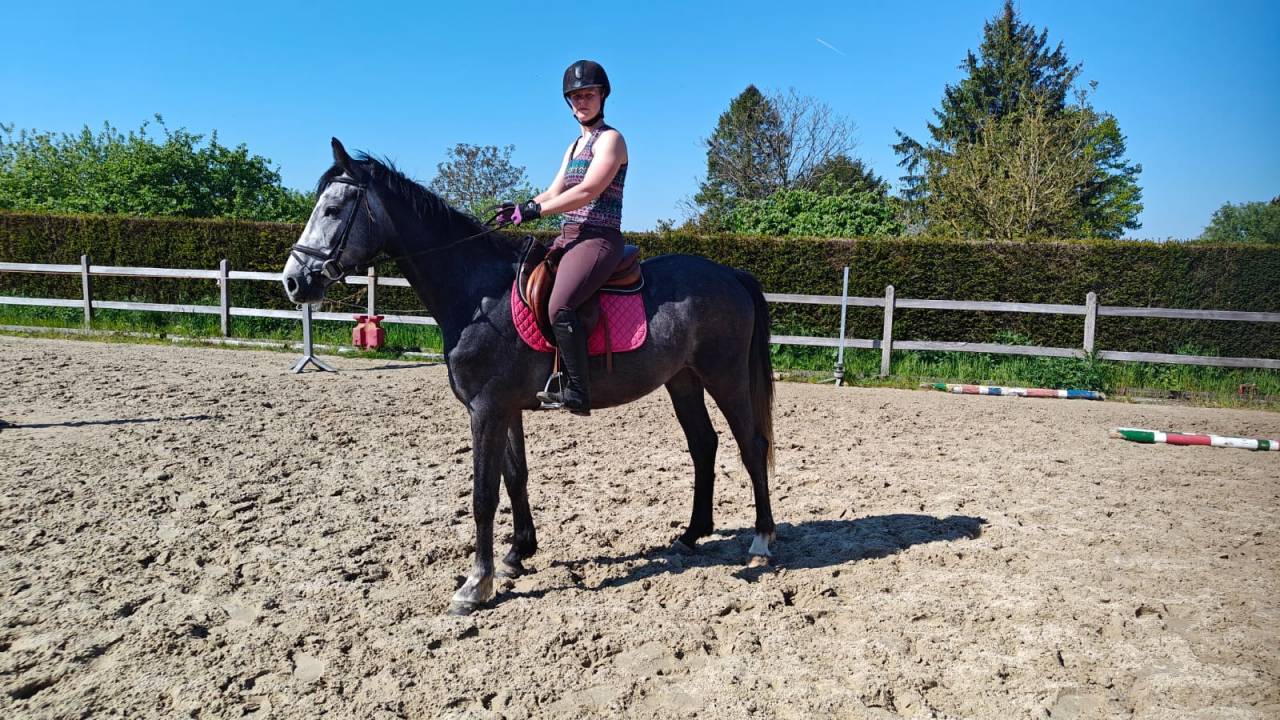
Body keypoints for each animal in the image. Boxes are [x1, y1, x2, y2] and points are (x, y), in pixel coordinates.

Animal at [282, 139, 776, 615]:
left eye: (332, 209)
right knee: (703, 445)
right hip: (684, 380)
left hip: (725, 376)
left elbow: (483, 495)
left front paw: (474, 585)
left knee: (751, 446)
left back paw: (761, 541)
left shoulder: (486, 409)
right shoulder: (505, 408)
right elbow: (515, 476)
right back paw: (692, 535)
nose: (293, 282)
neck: (479, 295)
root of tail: (729, 273)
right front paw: (517, 554)